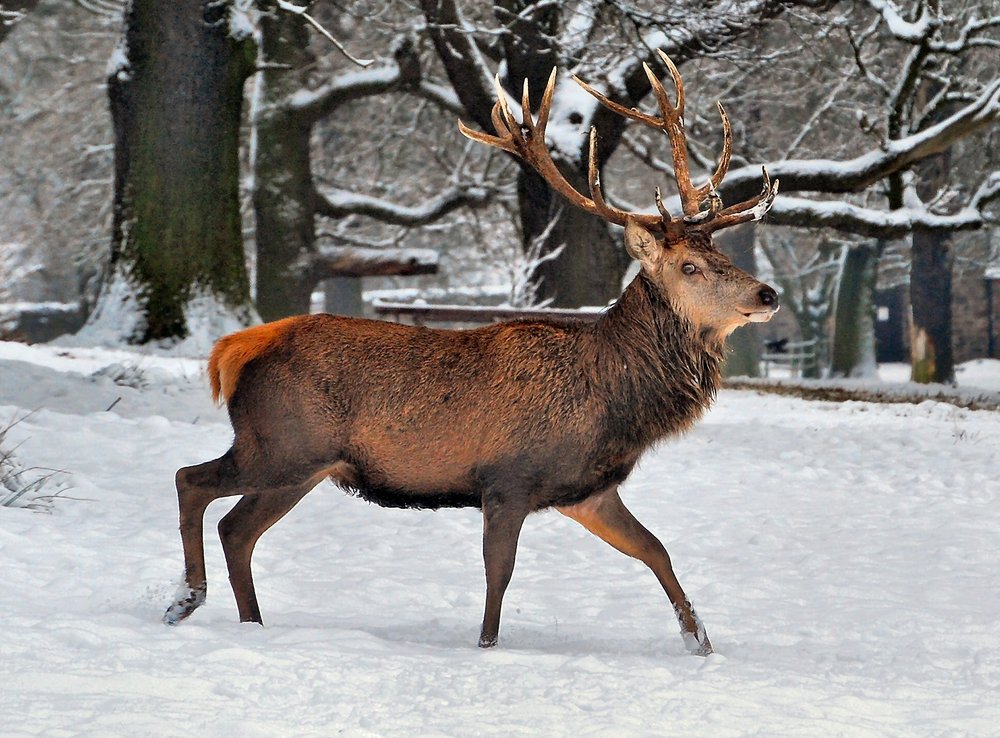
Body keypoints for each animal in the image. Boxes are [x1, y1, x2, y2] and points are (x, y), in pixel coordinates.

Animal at [164, 51, 779, 657]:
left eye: (722, 254)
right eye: (689, 267)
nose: (766, 294)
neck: (612, 399)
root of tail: (233, 351)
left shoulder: (587, 492)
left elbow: (655, 549)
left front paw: (700, 642)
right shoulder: (508, 479)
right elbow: (498, 574)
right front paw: (486, 647)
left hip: (300, 464)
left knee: (236, 530)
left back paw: (249, 624)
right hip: (280, 444)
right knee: (190, 479)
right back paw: (185, 599)